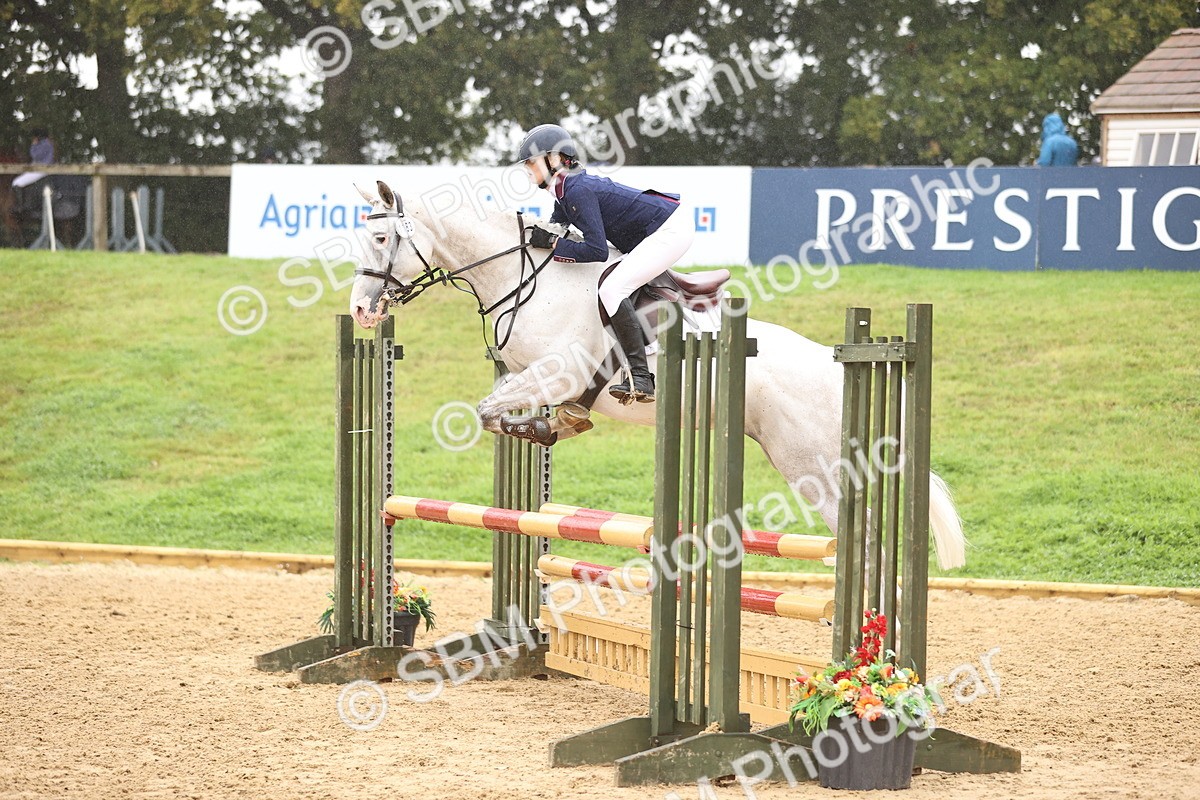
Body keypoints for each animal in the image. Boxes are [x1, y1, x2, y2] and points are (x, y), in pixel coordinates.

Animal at [349, 180, 966, 569]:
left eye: (380, 238)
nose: (359, 310)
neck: (526, 278)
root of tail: (841, 364)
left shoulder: (557, 374)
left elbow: (488, 411)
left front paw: (547, 427)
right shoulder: (522, 374)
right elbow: (494, 408)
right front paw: (550, 427)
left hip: (811, 466)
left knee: (860, 541)